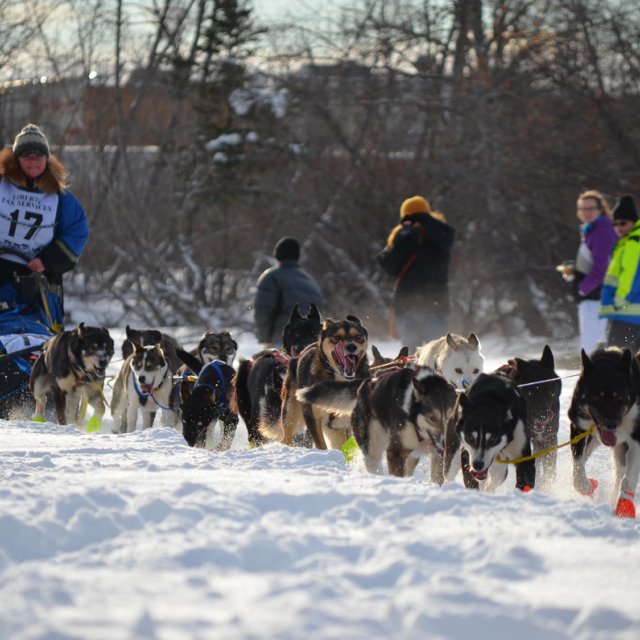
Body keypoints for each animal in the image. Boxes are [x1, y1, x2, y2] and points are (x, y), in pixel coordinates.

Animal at [298, 364, 456, 480]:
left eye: (451, 418)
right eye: (432, 418)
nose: (446, 443)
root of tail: (366, 384)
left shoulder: (437, 457)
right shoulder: (395, 453)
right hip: (372, 445)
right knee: (374, 463)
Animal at [568, 348, 640, 516]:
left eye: (619, 396)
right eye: (597, 397)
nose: (611, 424)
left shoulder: (636, 440)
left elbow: (628, 481)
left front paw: (624, 509)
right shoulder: (579, 428)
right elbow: (578, 471)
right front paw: (588, 486)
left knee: (621, 475)